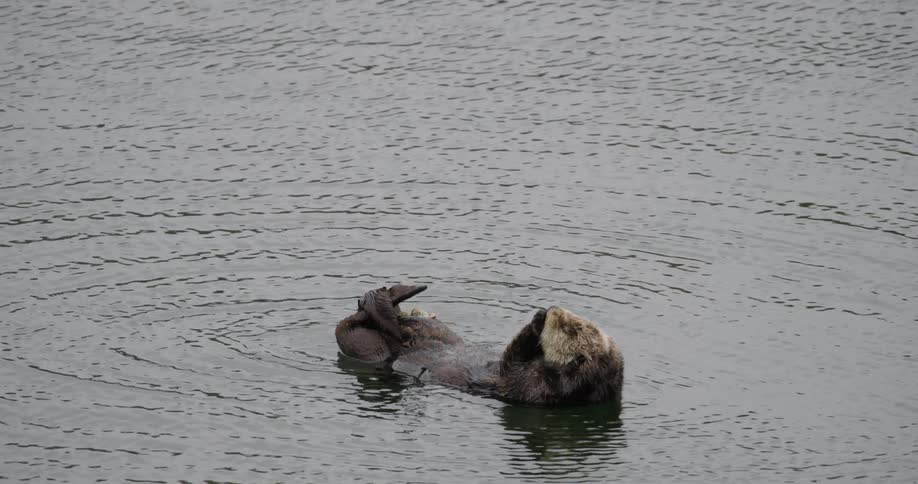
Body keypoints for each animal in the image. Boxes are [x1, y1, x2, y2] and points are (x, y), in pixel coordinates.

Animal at [335, 285, 623, 406]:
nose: (554, 310)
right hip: (438, 332)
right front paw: (539, 316)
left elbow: (512, 360)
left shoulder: (532, 387)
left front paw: (536, 323)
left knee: (352, 325)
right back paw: (402, 304)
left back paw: (388, 305)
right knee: (404, 322)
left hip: (367, 348)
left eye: (571, 329)